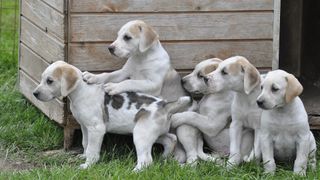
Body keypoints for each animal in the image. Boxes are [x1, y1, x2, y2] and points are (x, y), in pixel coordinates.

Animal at [33, 61, 191, 171]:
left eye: (49, 81)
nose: (35, 93)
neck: (81, 91)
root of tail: (164, 105)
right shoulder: (85, 127)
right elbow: (85, 143)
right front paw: (83, 156)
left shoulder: (96, 129)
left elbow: (92, 149)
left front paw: (88, 165)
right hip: (150, 133)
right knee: (171, 138)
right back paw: (164, 157)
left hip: (141, 135)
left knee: (146, 160)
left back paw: (134, 171)